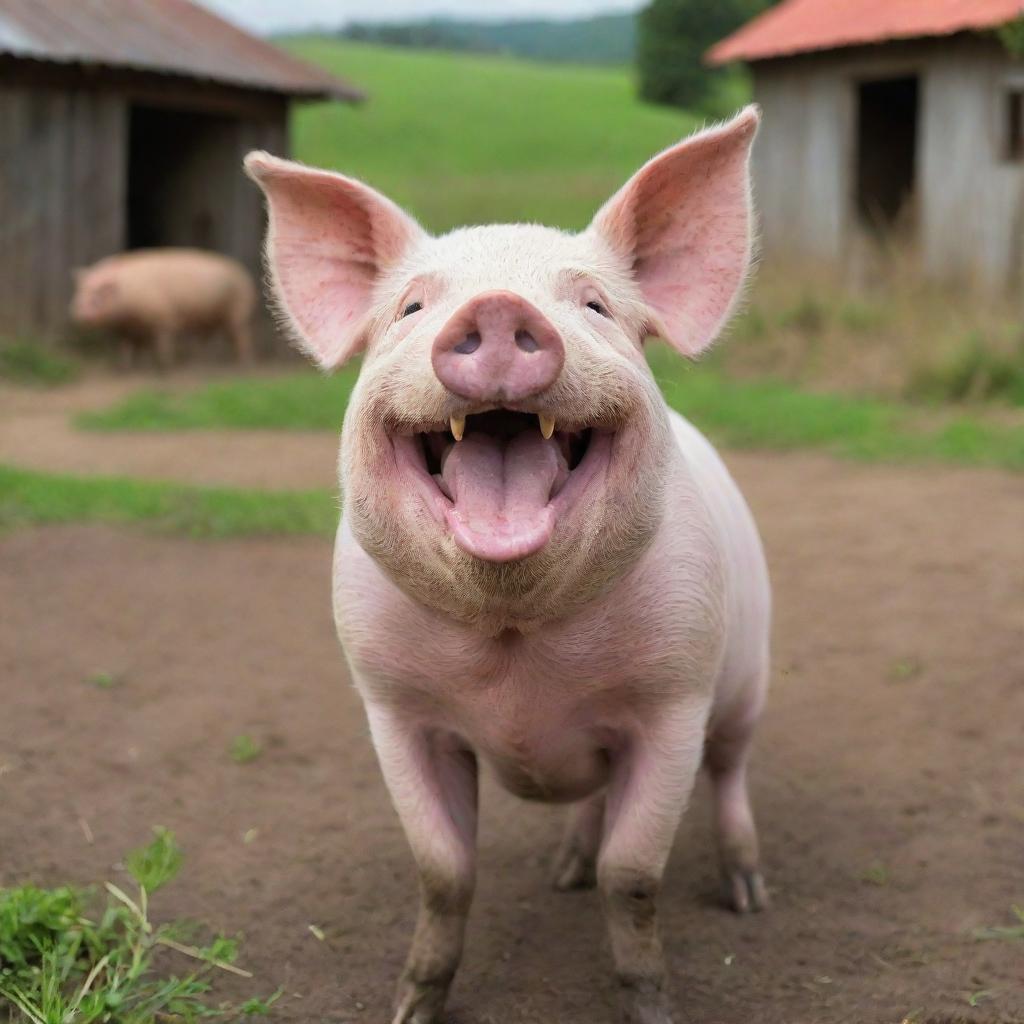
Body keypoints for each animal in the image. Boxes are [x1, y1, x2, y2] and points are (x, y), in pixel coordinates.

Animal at [70, 247, 256, 368]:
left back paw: (242, 364)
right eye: (80, 292)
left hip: (238, 310)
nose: (79, 312)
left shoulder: (162, 319)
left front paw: (164, 366)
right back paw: (204, 360)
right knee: (209, 338)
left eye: (96, 296)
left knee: (241, 336)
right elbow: (127, 346)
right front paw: (127, 367)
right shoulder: (127, 329)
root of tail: (243, 272)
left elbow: (161, 343)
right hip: (213, 317)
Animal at [245, 105, 770, 1024]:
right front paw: (410, 1009)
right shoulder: (392, 705)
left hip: (747, 675)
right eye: (414, 306)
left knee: (732, 767)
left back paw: (748, 894)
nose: (495, 309)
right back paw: (565, 873)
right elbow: (443, 871)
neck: (515, 645)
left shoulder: (674, 699)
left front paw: (653, 1008)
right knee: (593, 802)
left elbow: (634, 877)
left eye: (594, 304)